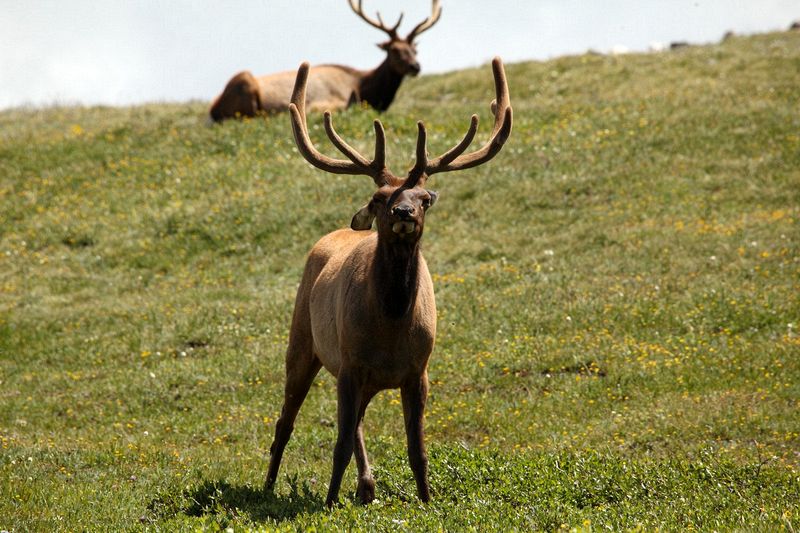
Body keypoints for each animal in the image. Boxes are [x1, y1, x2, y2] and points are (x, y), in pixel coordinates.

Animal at [208, 0, 442, 122]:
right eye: (395, 50)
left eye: (414, 49)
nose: (415, 66)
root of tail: (213, 109)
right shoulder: (328, 100)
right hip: (244, 81)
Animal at [264, 57, 512, 507]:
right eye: (380, 197)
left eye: (425, 198)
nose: (403, 212)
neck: (392, 326)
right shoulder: (350, 364)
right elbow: (340, 443)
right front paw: (329, 503)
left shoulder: (418, 372)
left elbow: (417, 448)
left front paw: (427, 501)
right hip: (303, 341)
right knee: (286, 422)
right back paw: (270, 485)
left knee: (356, 422)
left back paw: (367, 485)